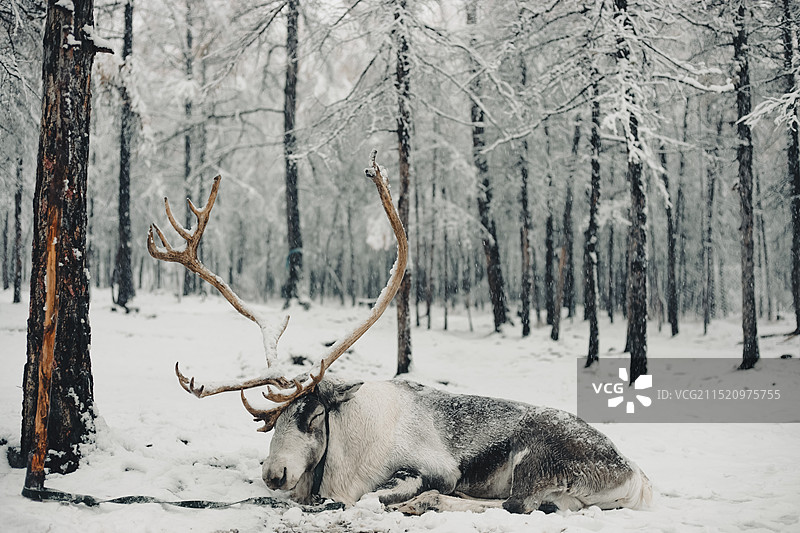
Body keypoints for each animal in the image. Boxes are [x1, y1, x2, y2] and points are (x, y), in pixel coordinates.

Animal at [147, 151, 652, 515]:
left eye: (314, 414)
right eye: (274, 421)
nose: (274, 473)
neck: (348, 447)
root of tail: (636, 478)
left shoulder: (436, 468)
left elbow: (384, 493)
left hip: (533, 460)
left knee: (514, 505)